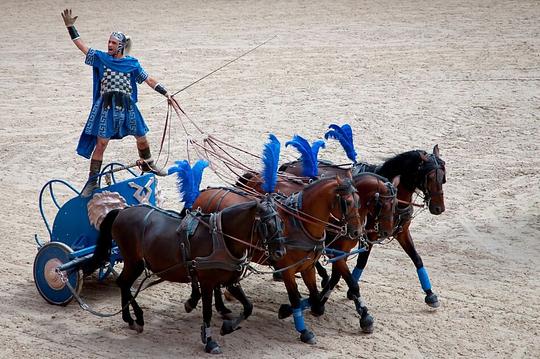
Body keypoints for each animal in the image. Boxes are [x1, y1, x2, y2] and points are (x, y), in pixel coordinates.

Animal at [83, 198, 286, 356]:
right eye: (268, 225)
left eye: (282, 223)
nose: (281, 252)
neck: (222, 239)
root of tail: (123, 211)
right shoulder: (207, 282)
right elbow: (207, 312)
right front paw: (210, 342)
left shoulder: (232, 282)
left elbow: (248, 307)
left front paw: (227, 327)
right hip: (134, 261)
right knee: (124, 283)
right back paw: (136, 318)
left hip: (135, 262)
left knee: (123, 284)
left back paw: (131, 320)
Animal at [192, 176, 360, 344]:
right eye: (348, 202)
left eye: (359, 200)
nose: (357, 231)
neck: (300, 224)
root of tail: (203, 193)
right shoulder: (288, 270)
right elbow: (295, 298)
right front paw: (303, 330)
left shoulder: (308, 267)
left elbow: (316, 300)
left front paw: (286, 310)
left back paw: (221, 307)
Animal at [278, 145, 448, 308]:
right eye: (430, 177)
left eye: (443, 177)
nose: (439, 208)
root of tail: (291, 164)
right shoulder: (369, 236)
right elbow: (361, 262)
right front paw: (350, 293)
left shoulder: (402, 232)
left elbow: (417, 259)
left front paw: (430, 294)